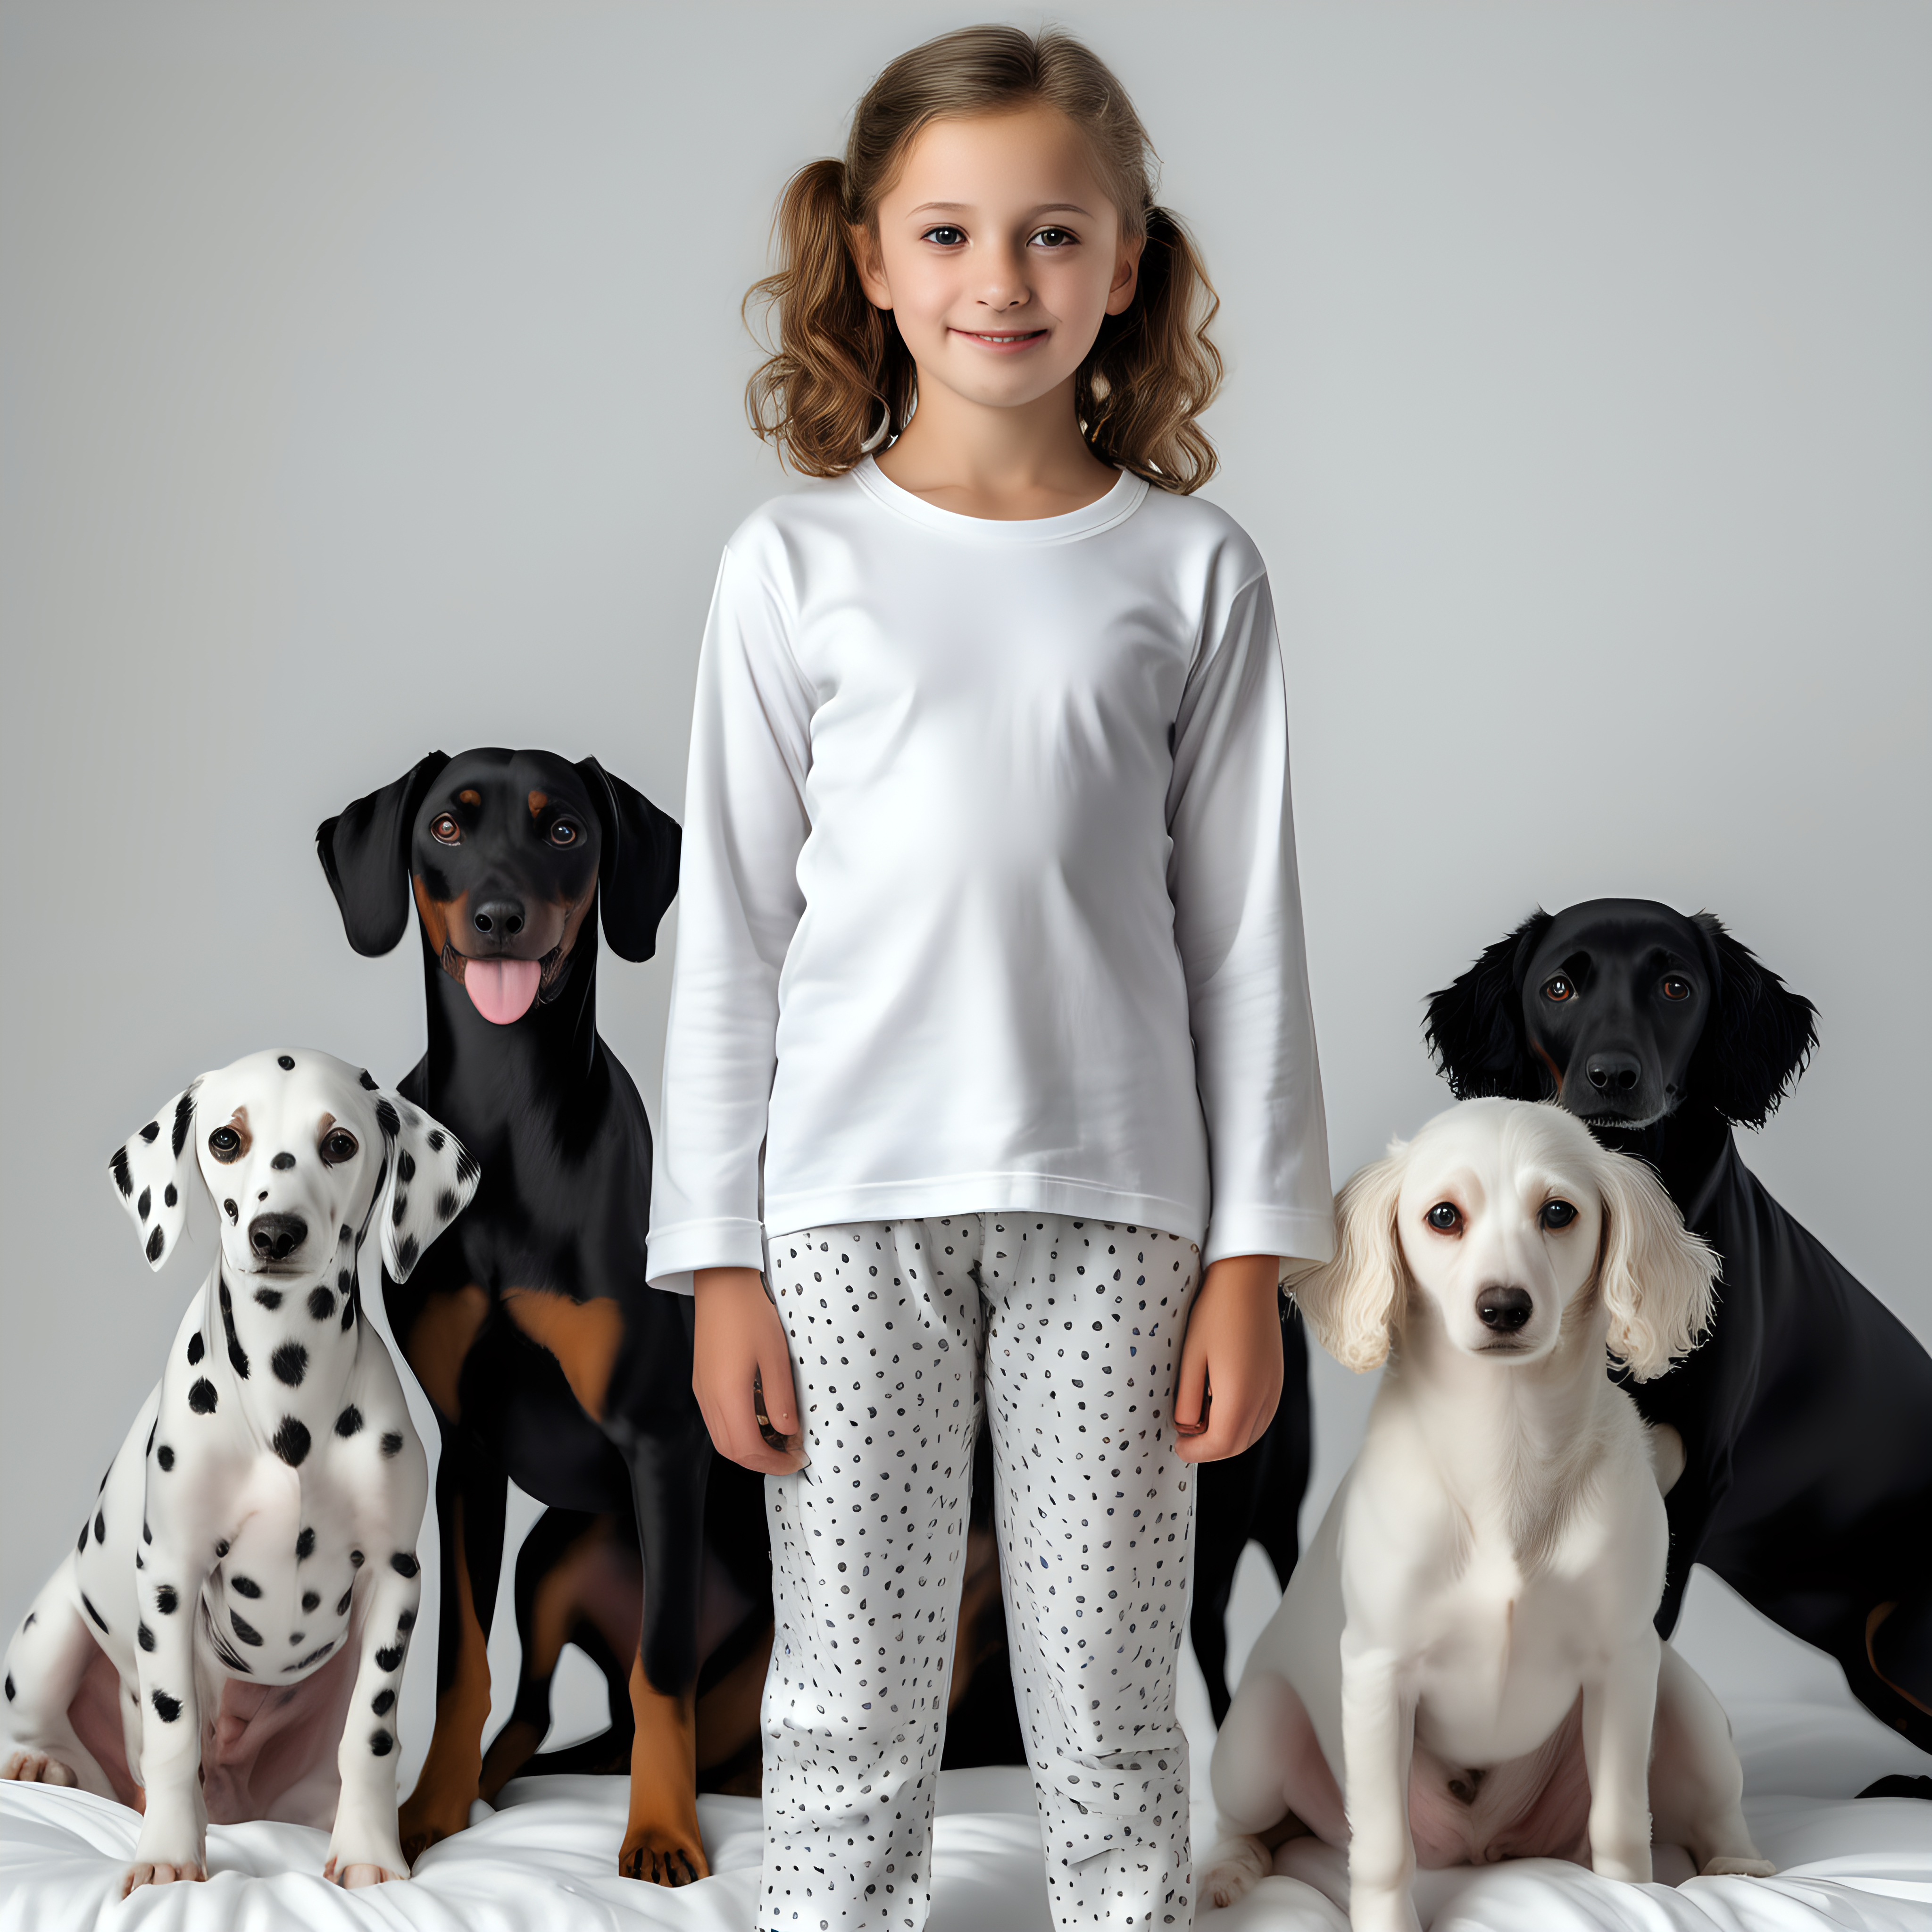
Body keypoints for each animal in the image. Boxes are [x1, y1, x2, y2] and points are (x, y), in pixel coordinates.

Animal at [2, 1051, 477, 1893]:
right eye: (227, 1139)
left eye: (340, 1144)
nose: (275, 1231)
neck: (289, 1395)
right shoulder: (170, 1573)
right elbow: (174, 1728)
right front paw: (166, 1855)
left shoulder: (397, 1578)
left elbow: (372, 1733)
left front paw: (370, 1853)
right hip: (51, 1630)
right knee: (52, 1729)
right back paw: (40, 1763)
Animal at [1198, 1105, 1769, 1932]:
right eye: (1444, 1216)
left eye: (1558, 1213)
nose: (1504, 1307)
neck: (1507, 1448)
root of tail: (1483, 1846)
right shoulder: (1378, 1671)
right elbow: (1382, 1848)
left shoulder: (1626, 1663)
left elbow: (1622, 1821)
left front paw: (1629, 1900)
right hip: (1255, 1735)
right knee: (1251, 1827)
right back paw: (1227, 1874)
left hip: (1683, 1702)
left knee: (1715, 1813)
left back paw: (1741, 1870)